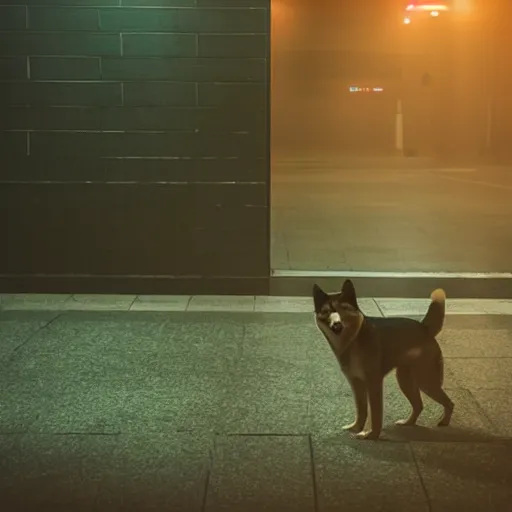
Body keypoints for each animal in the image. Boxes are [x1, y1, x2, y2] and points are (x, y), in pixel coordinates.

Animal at [314, 280, 454, 440]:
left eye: (344, 309)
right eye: (326, 312)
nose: (336, 324)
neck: (353, 339)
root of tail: (424, 327)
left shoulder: (373, 382)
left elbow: (375, 414)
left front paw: (371, 434)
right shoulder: (356, 383)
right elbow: (361, 410)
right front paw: (356, 428)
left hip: (425, 380)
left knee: (449, 403)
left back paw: (444, 422)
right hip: (406, 380)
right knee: (419, 405)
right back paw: (408, 423)